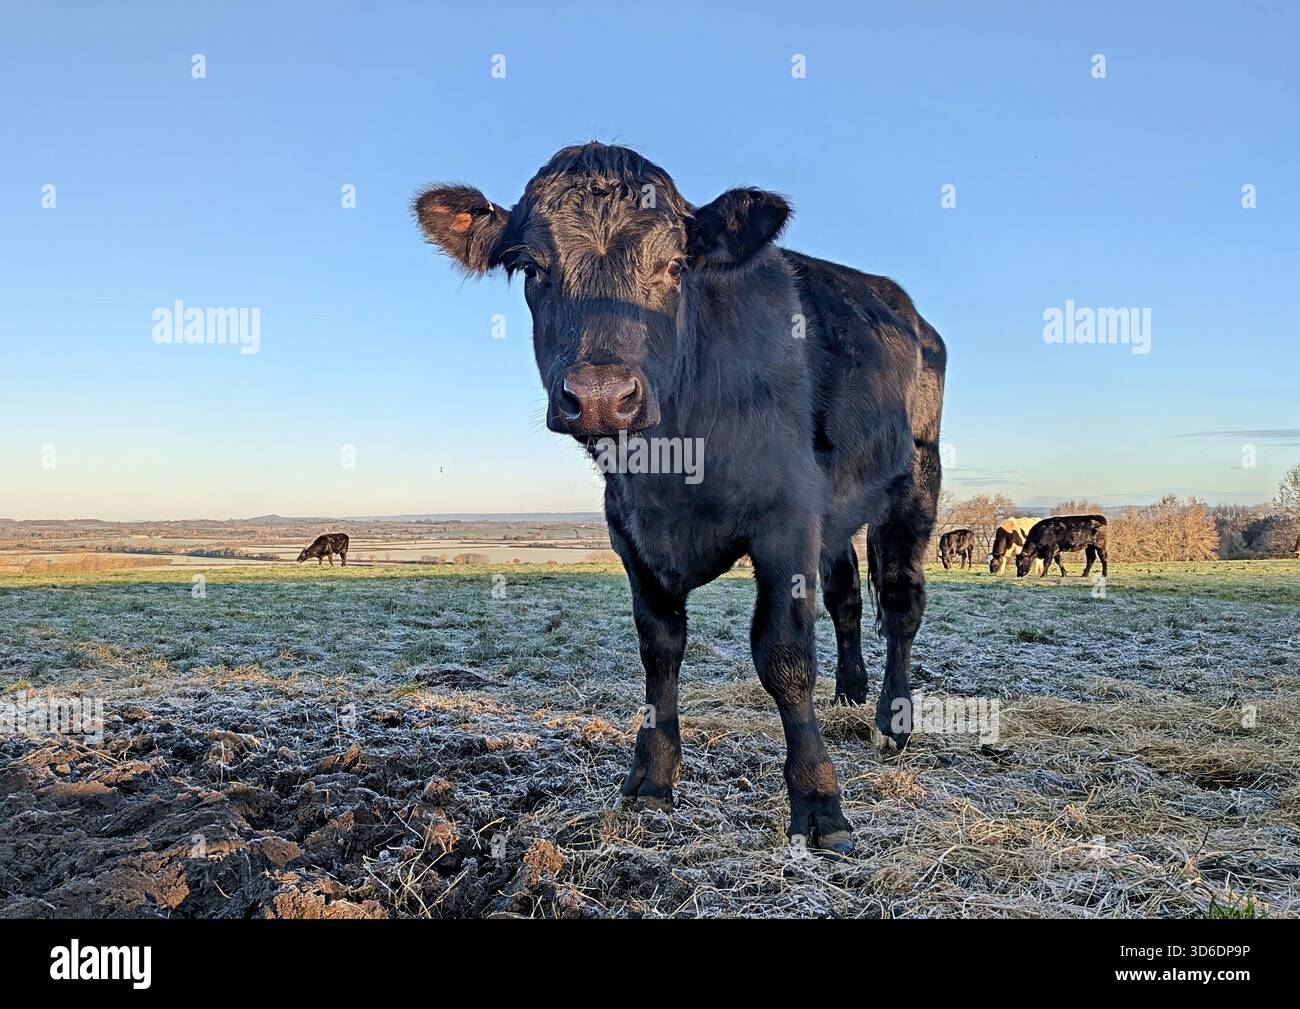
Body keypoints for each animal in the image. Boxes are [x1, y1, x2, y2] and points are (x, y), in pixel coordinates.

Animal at [413, 143, 947, 853]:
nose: (602, 395)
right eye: (533, 268)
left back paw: (893, 720)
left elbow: (783, 655)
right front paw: (652, 777)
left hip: (916, 480)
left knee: (900, 602)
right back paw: (851, 691)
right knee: (847, 597)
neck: (668, 468)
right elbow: (660, 650)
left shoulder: (786, 517)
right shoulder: (631, 533)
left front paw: (818, 802)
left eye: (674, 266)